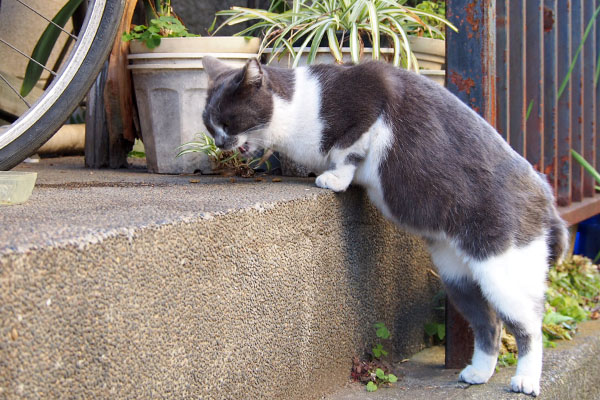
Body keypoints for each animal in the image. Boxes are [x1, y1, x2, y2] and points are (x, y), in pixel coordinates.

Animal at [200, 56, 568, 396]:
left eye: (228, 121)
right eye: (209, 125)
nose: (219, 143)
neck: (300, 108)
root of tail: (544, 193)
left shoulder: (371, 100)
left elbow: (348, 149)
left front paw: (334, 178)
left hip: (504, 273)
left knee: (530, 325)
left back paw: (526, 381)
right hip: (458, 277)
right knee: (488, 325)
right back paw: (478, 373)